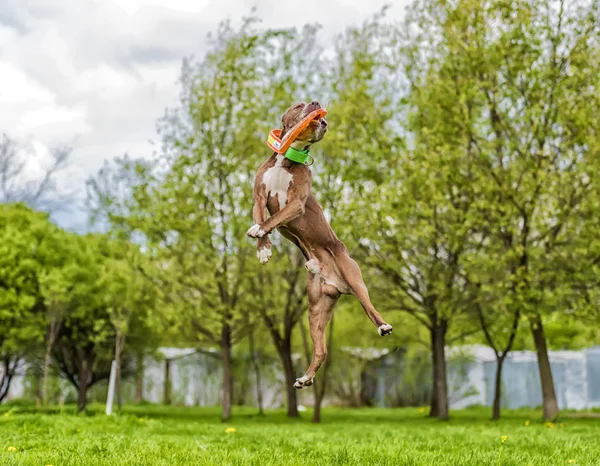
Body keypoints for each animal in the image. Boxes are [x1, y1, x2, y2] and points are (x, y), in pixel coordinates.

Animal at [246, 102, 392, 390]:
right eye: (299, 105)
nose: (316, 106)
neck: (286, 159)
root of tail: (337, 283)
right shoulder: (259, 195)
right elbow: (262, 218)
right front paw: (264, 249)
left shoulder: (295, 203)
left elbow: (272, 219)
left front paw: (259, 233)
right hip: (316, 308)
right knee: (321, 350)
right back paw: (304, 378)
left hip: (354, 278)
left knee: (369, 308)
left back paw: (383, 326)